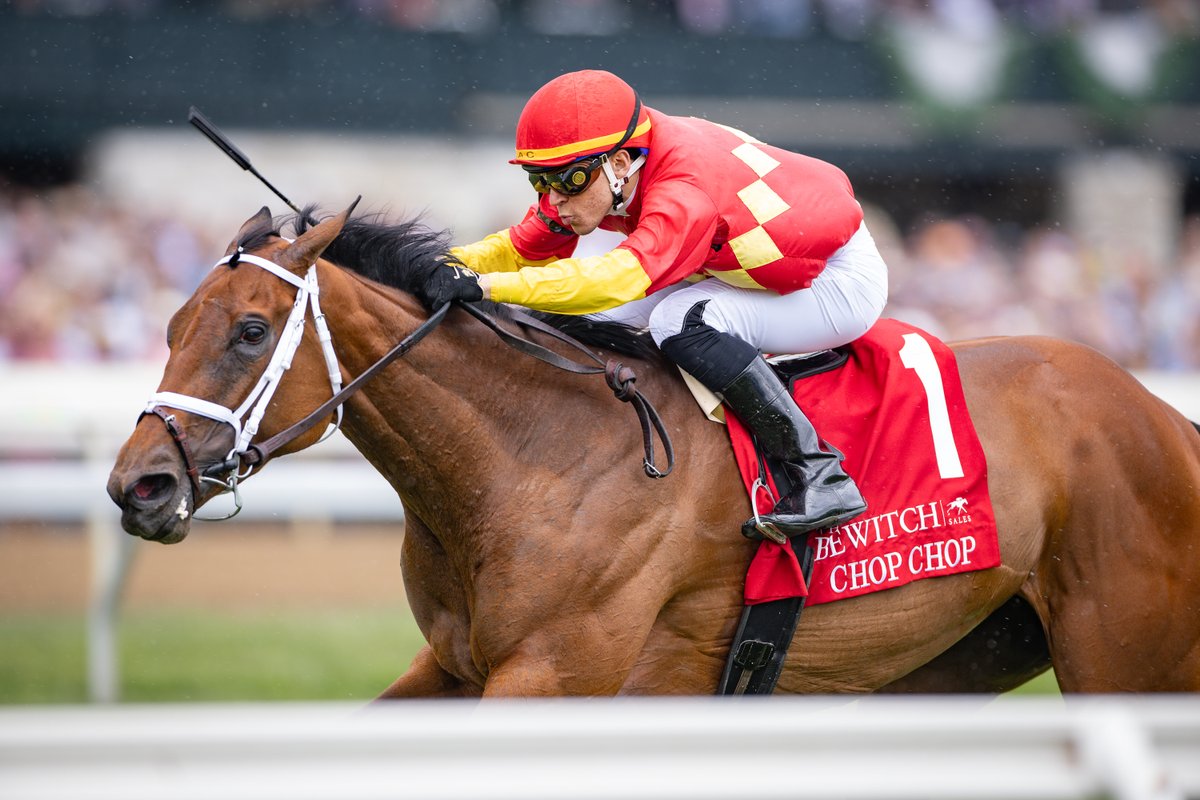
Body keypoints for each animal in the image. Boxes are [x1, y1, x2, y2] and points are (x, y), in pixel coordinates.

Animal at [105, 205, 1200, 695]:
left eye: (251, 330)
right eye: (170, 322)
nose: (136, 484)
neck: (531, 453)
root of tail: (1164, 417)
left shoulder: (555, 673)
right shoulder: (453, 666)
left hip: (1123, 655)